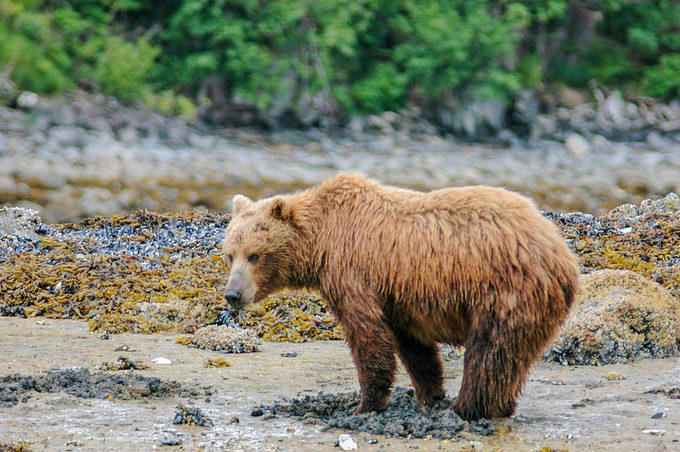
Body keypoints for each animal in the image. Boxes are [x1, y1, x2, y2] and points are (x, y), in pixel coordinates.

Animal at [222, 173, 579, 420]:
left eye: (255, 255)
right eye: (229, 254)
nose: (232, 295)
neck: (321, 241)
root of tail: (561, 251)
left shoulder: (352, 272)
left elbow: (367, 335)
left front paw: (364, 404)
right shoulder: (398, 296)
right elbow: (414, 347)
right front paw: (429, 394)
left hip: (505, 288)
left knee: (490, 350)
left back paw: (466, 407)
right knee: (511, 357)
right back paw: (495, 406)